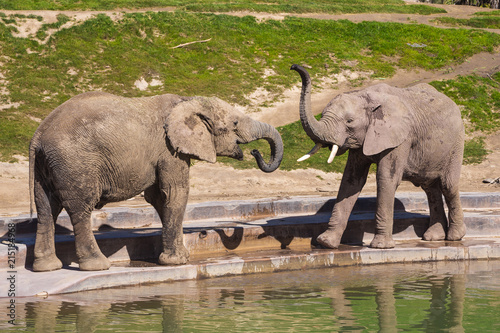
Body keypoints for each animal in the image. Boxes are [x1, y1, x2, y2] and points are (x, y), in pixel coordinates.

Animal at [29, 91, 284, 270]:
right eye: (234, 125)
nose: (254, 153)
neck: (187, 100)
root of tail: (38, 136)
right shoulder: (169, 150)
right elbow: (175, 193)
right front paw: (177, 261)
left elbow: (159, 198)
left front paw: (181, 256)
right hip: (75, 162)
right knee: (80, 208)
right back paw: (97, 266)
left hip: (46, 166)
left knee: (46, 208)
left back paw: (46, 268)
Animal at [292, 63, 466, 249]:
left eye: (349, 121)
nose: (294, 66)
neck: (365, 96)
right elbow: (351, 181)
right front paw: (326, 243)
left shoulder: (400, 138)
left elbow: (385, 178)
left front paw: (380, 246)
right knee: (430, 187)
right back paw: (433, 238)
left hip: (457, 143)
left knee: (448, 185)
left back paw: (455, 237)